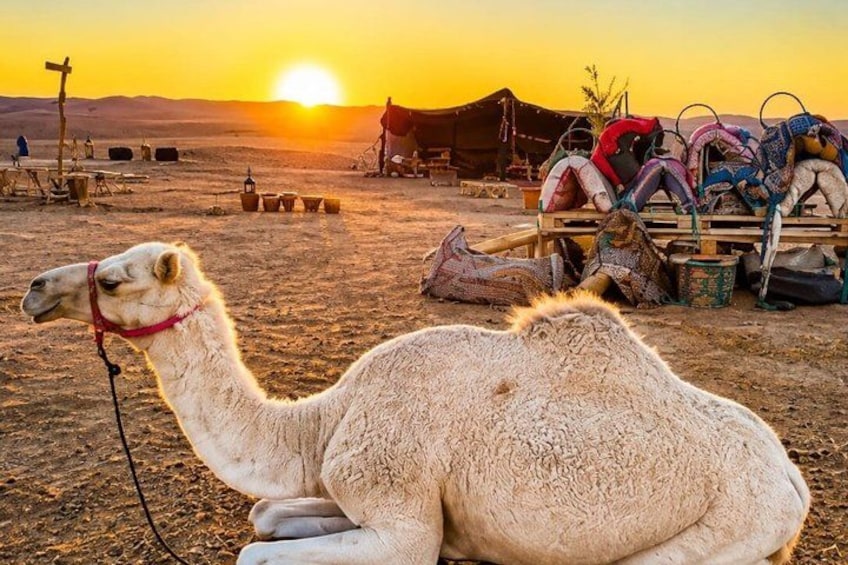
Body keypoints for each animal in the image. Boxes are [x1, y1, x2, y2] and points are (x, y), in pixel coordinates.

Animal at [21, 241, 809, 565]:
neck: (322, 420)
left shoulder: (402, 523)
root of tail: (793, 479)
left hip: (728, 524)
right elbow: (264, 515)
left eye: (115, 280)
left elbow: (253, 553)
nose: (32, 288)